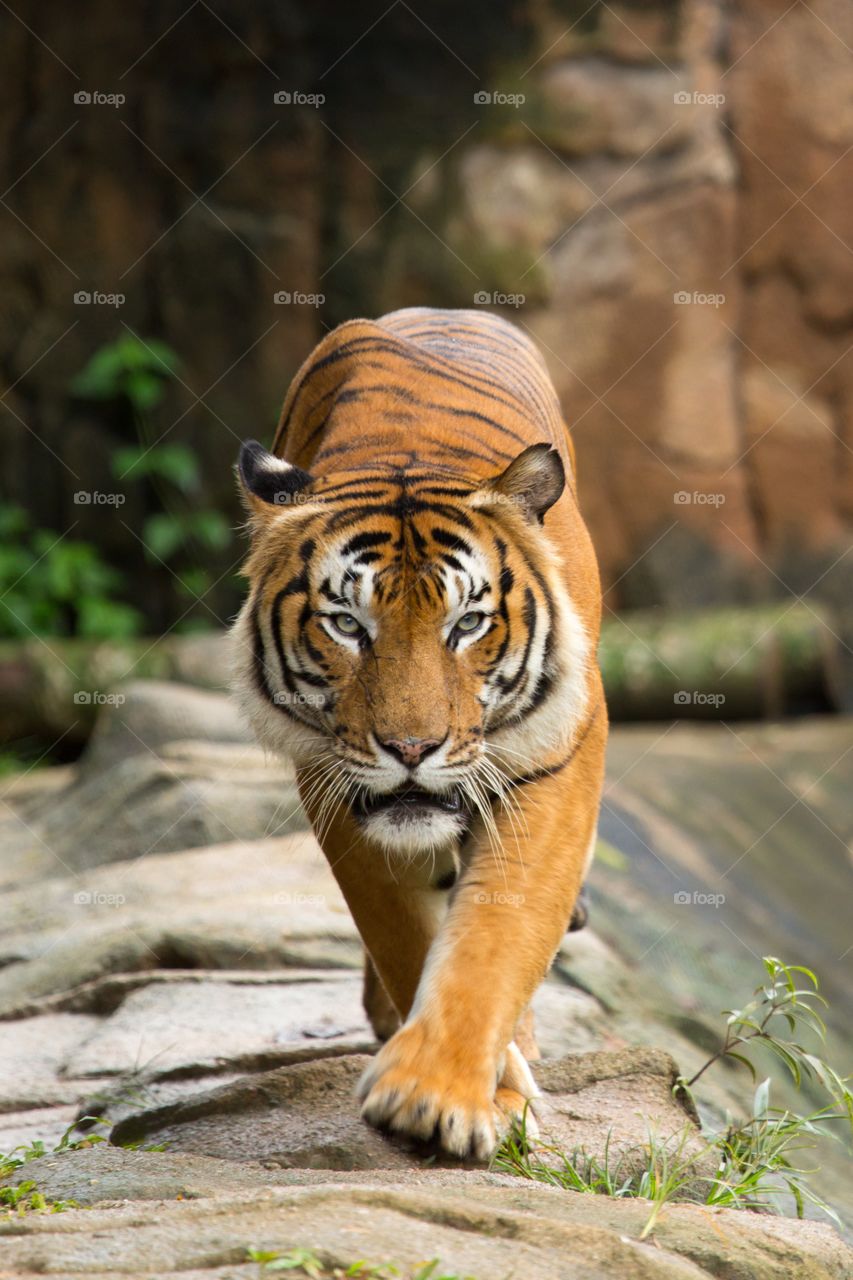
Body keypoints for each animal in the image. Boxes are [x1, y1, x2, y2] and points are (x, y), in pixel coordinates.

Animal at [230, 306, 607, 1159]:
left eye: (466, 624)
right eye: (346, 624)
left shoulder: (553, 759)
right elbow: (402, 931)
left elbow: (496, 932)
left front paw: (435, 1096)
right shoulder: (335, 781)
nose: (410, 751)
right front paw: (480, 1086)